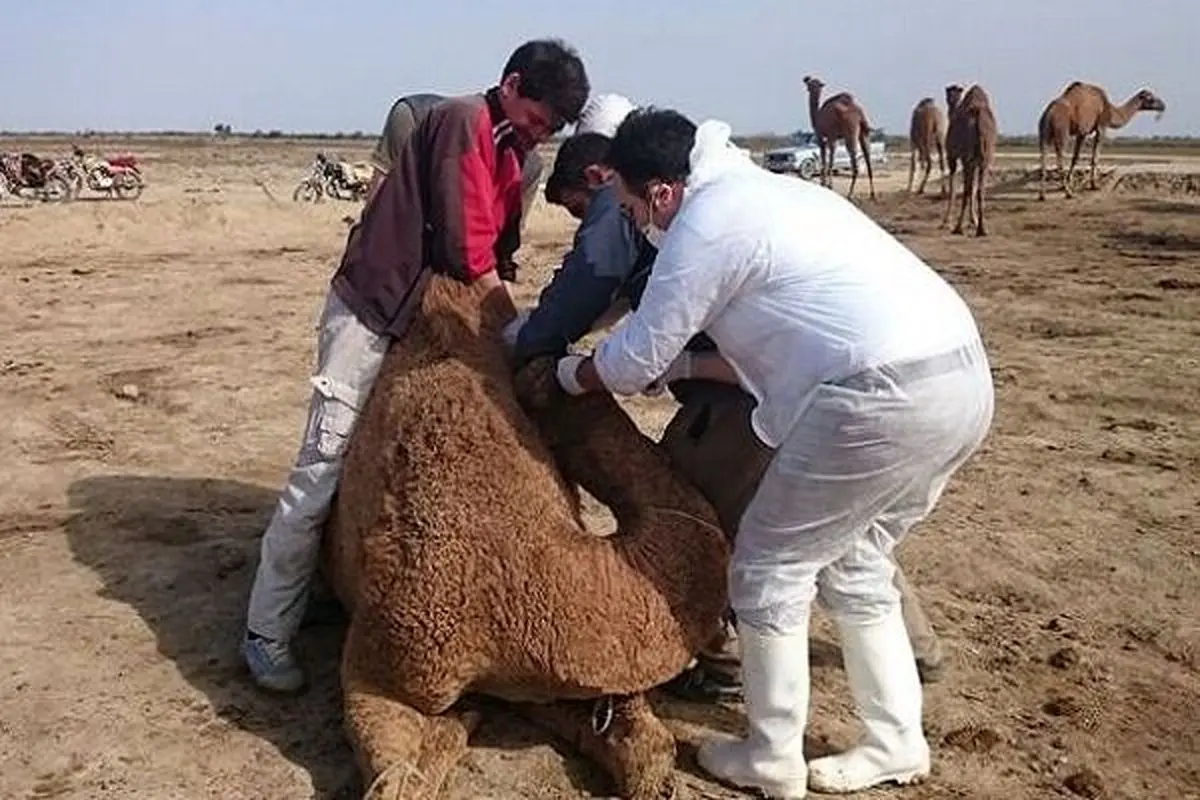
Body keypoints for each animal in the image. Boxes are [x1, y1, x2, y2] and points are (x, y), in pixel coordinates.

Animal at [940, 86, 998, 239]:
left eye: (949, 94)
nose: (950, 99)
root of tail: (978, 115)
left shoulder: (952, 156)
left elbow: (953, 188)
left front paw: (946, 221)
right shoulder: (976, 161)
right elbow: (973, 188)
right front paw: (974, 221)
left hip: (967, 157)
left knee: (966, 190)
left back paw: (958, 228)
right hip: (986, 155)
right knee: (980, 190)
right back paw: (982, 229)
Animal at [1036, 80, 1166, 200]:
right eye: (1151, 98)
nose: (1163, 105)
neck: (1110, 109)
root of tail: (1049, 112)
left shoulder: (1082, 132)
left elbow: (1075, 157)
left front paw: (1070, 182)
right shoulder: (1101, 126)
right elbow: (1095, 157)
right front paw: (1094, 185)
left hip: (1043, 131)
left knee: (1043, 156)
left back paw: (1042, 195)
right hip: (1062, 131)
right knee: (1060, 160)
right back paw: (1068, 193)